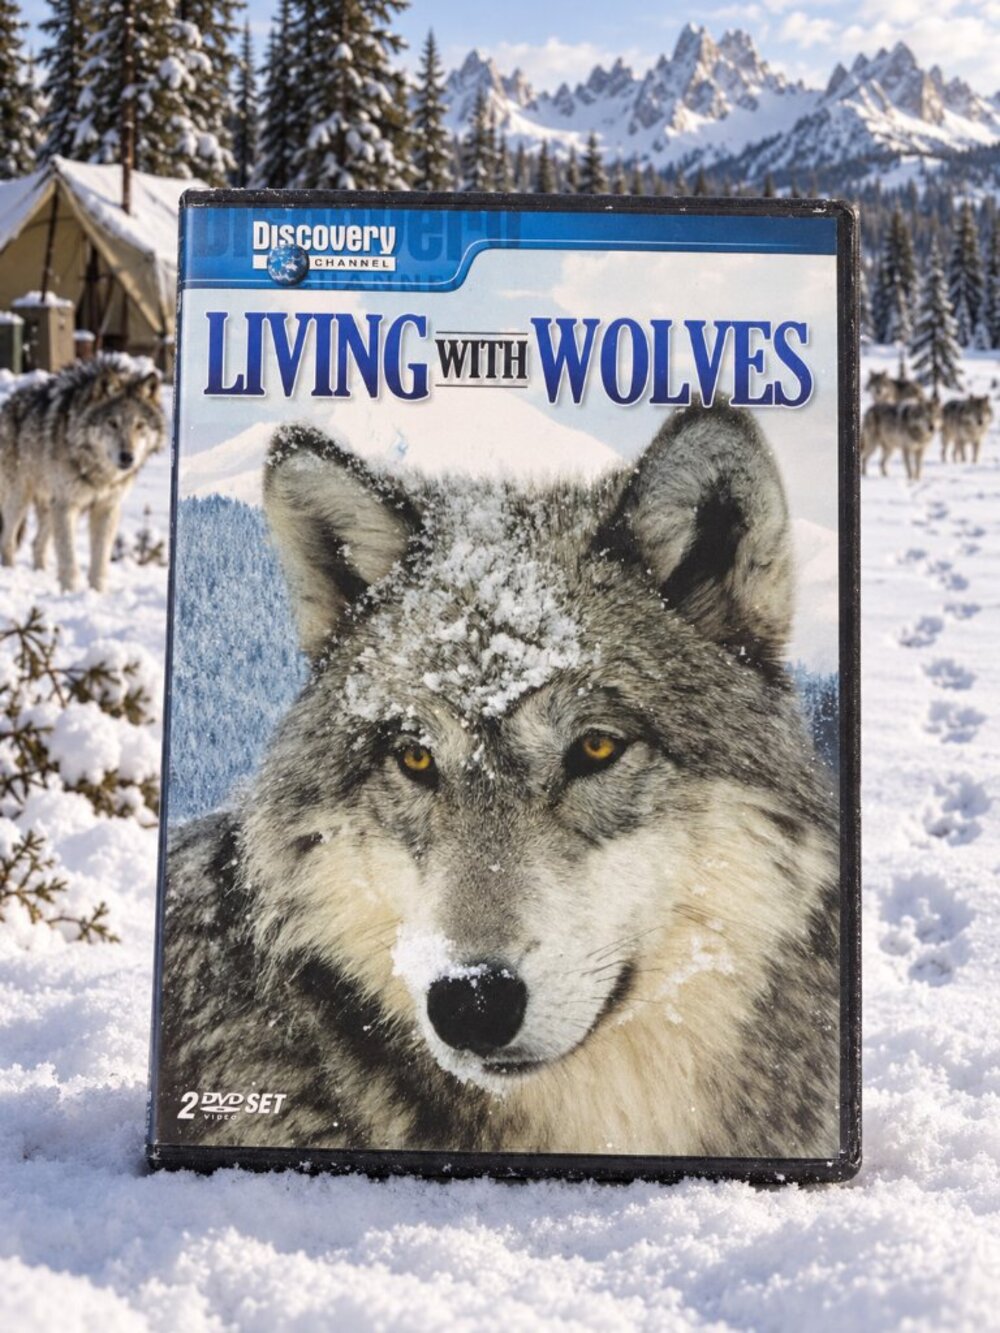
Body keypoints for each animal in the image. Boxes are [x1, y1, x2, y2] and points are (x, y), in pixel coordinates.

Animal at [0, 356, 165, 591]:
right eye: (112, 423)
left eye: (140, 425)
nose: (127, 457)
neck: (100, 473)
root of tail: (8, 403)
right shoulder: (67, 505)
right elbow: (68, 557)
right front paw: (70, 592)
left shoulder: (106, 508)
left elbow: (100, 561)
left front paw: (96, 593)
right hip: (19, 499)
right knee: (8, 540)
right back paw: (11, 573)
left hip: (49, 507)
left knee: (37, 544)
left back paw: (40, 573)